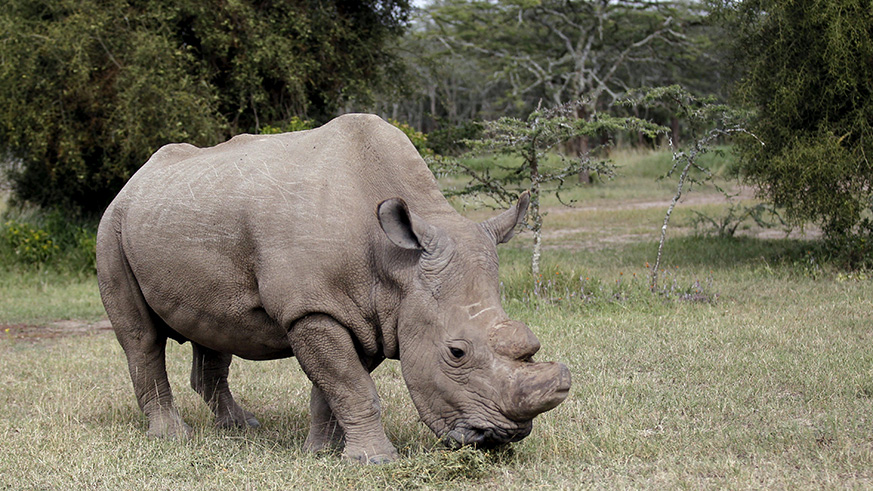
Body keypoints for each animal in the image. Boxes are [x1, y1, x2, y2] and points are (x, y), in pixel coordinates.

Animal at [96, 113, 571, 463]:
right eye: (456, 353)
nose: (499, 439)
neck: (398, 263)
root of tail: (134, 179)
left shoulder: (370, 312)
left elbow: (336, 386)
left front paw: (324, 453)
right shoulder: (313, 309)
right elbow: (353, 385)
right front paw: (376, 461)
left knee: (213, 328)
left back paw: (241, 427)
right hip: (112, 227)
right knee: (141, 338)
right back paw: (173, 437)